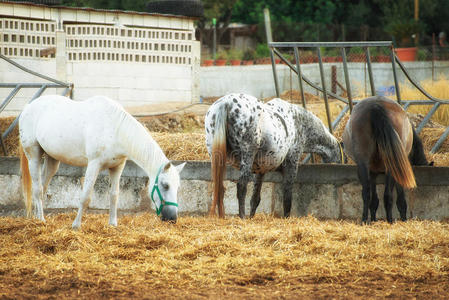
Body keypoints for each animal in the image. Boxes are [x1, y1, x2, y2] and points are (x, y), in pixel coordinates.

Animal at [18, 94, 185, 227]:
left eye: (178, 187)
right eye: (165, 185)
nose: (172, 218)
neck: (115, 129)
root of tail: (27, 107)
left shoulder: (117, 166)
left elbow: (114, 195)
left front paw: (113, 224)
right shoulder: (94, 164)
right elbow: (85, 197)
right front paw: (76, 225)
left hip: (52, 160)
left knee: (43, 187)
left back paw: (37, 217)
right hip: (33, 155)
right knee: (38, 189)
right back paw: (41, 220)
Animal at [205, 92, 344, 217]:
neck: (299, 123)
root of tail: (226, 103)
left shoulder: (260, 172)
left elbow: (255, 199)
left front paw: (252, 217)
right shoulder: (291, 165)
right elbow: (287, 198)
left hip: (216, 157)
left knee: (219, 187)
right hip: (247, 155)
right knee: (241, 186)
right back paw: (242, 217)